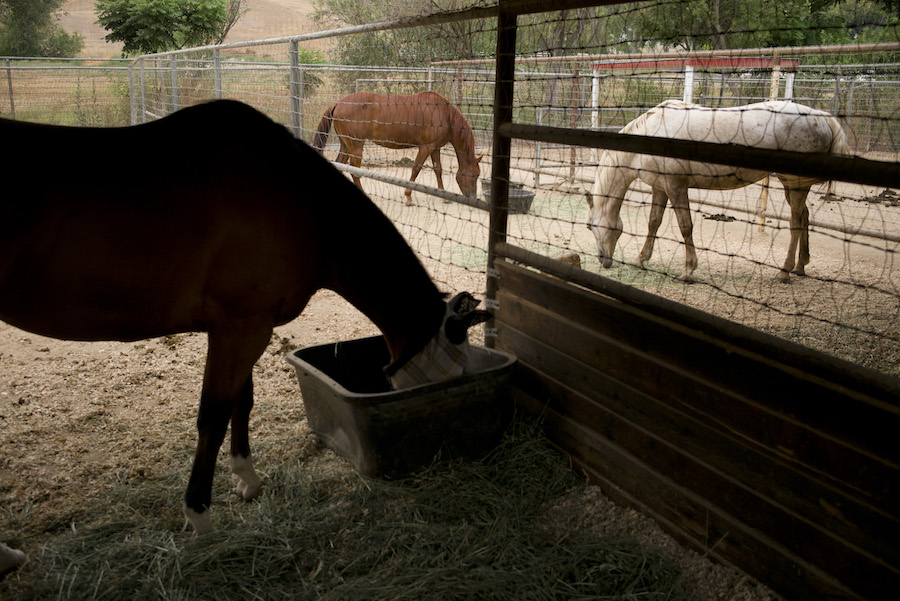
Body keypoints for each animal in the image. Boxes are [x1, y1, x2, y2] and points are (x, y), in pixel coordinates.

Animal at [312, 91, 482, 204]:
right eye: (475, 175)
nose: (473, 196)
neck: (444, 114)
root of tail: (338, 103)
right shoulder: (426, 147)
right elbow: (416, 169)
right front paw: (408, 197)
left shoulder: (435, 148)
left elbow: (438, 169)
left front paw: (443, 195)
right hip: (355, 146)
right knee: (355, 171)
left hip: (346, 146)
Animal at [587, 100, 851, 283]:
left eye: (589, 226)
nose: (603, 260)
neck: (651, 132)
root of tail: (822, 117)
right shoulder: (660, 188)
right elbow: (654, 222)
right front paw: (641, 260)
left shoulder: (676, 186)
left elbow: (685, 226)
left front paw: (688, 271)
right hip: (792, 186)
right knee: (804, 216)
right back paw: (800, 266)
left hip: (795, 184)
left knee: (796, 222)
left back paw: (784, 272)